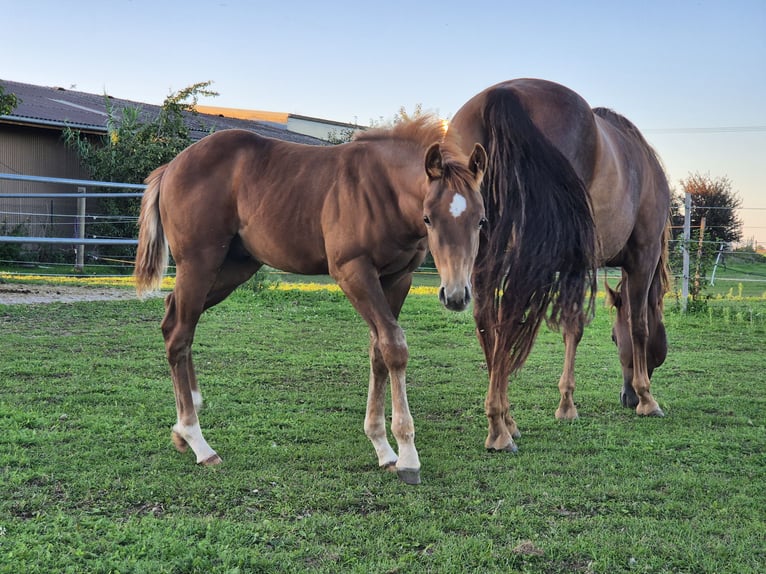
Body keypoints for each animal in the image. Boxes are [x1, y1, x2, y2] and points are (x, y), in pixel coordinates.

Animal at [133, 117, 488, 485]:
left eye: (481, 220)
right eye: (429, 217)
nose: (456, 295)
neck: (384, 190)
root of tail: (172, 166)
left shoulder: (398, 279)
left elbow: (378, 351)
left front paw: (383, 448)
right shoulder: (352, 271)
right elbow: (394, 347)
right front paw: (407, 456)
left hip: (234, 267)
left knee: (173, 318)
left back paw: (184, 426)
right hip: (199, 263)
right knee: (180, 335)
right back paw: (198, 441)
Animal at [449, 78, 671, 453]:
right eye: (614, 338)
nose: (626, 397)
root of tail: (503, 94)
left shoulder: (576, 262)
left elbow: (572, 328)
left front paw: (566, 404)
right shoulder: (643, 254)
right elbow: (638, 324)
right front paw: (647, 399)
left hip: (485, 249)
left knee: (487, 321)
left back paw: (505, 422)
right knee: (507, 318)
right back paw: (499, 428)